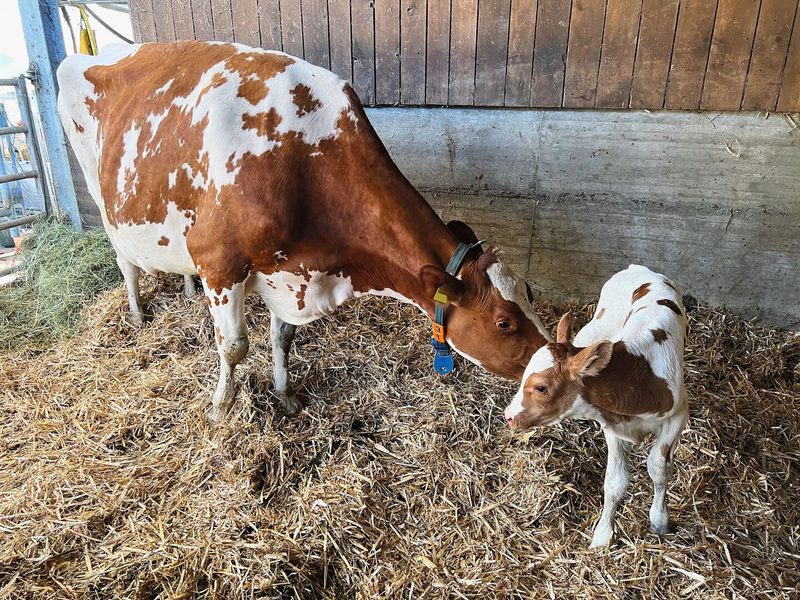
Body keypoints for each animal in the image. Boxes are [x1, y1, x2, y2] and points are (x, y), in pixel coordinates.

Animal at [57, 41, 551, 422]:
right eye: (504, 322)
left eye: (529, 291)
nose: (554, 360)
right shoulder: (219, 262)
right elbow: (233, 347)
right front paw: (220, 408)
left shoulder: (288, 272)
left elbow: (283, 339)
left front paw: (285, 395)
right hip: (102, 197)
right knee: (124, 260)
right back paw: (138, 312)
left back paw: (186, 288)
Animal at [503, 265, 688, 547]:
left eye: (541, 388)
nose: (509, 416)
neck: (638, 379)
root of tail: (639, 269)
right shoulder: (613, 427)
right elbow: (615, 482)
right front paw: (602, 536)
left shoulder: (678, 414)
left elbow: (657, 467)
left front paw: (659, 520)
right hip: (593, 328)